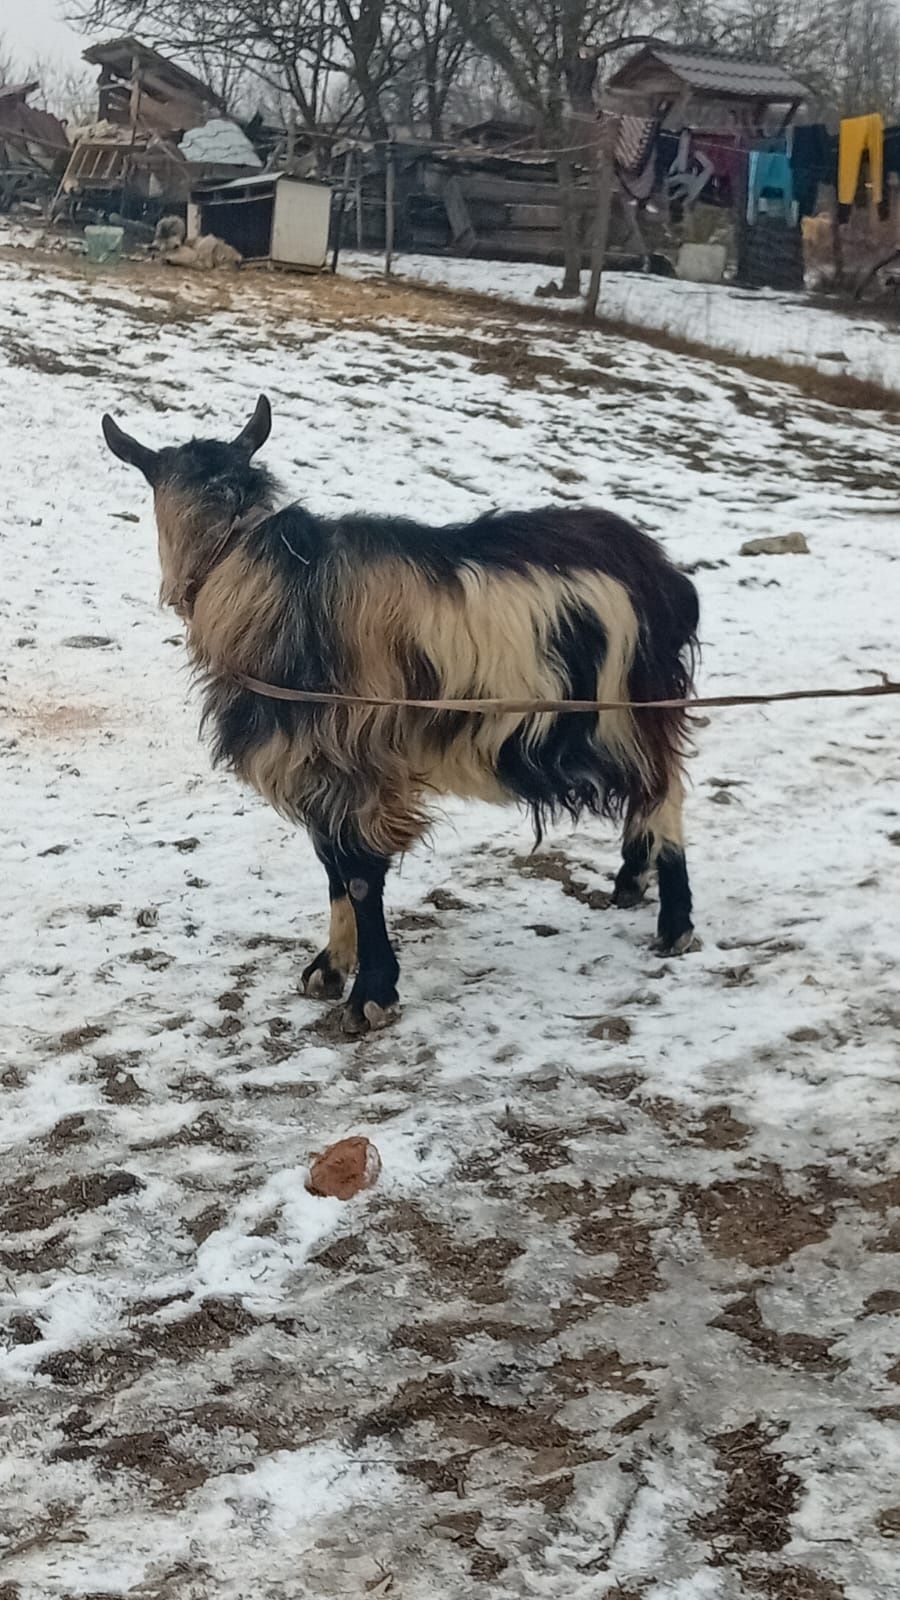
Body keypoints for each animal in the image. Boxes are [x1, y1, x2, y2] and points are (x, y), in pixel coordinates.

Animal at [101, 393, 698, 1030]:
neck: (270, 579)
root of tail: (663, 572)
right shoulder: (316, 767)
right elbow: (332, 868)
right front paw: (330, 968)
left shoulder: (357, 764)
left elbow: (361, 877)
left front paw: (371, 993)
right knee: (648, 789)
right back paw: (632, 881)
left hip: (631, 704)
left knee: (664, 790)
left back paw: (675, 923)